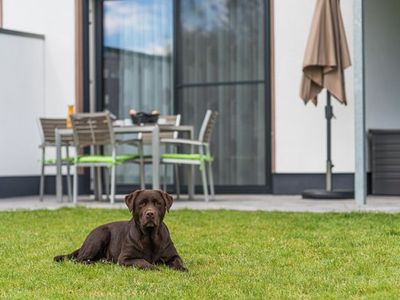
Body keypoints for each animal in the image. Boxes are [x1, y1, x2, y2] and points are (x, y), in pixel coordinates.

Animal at [53, 190, 189, 272]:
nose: (150, 213)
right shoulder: (126, 258)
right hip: (101, 235)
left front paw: (183, 270)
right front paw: (156, 269)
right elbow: (143, 262)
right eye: (141, 204)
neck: (150, 236)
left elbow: (178, 262)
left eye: (158, 203)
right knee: (79, 260)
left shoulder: (173, 255)